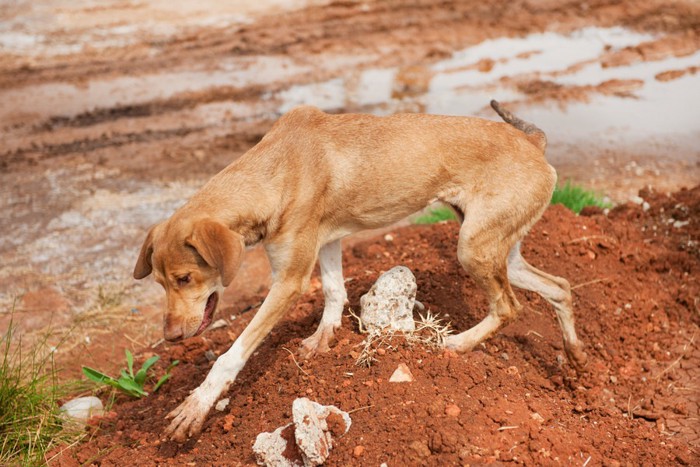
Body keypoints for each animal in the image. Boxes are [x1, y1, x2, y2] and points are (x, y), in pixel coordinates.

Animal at [134, 102, 588, 442]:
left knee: (509, 307)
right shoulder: (327, 242)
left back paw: (456, 345)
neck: (273, 171)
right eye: (159, 282)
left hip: (473, 247)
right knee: (560, 286)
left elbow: (232, 354)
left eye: (185, 279)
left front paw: (197, 404)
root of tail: (533, 142)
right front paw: (324, 338)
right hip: (499, 248)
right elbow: (335, 292)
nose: (169, 338)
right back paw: (576, 356)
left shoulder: (289, 281)